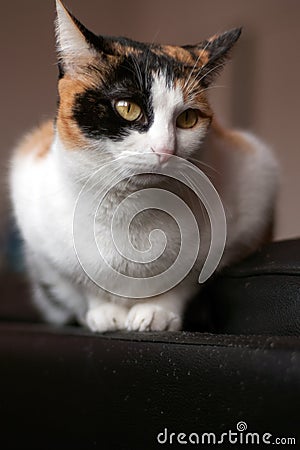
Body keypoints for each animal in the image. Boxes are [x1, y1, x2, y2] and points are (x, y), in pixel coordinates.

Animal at [9, 0, 278, 330]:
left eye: (188, 118)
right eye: (127, 108)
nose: (165, 149)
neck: (130, 212)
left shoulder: (255, 192)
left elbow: (188, 279)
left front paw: (156, 311)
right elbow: (80, 285)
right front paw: (104, 313)